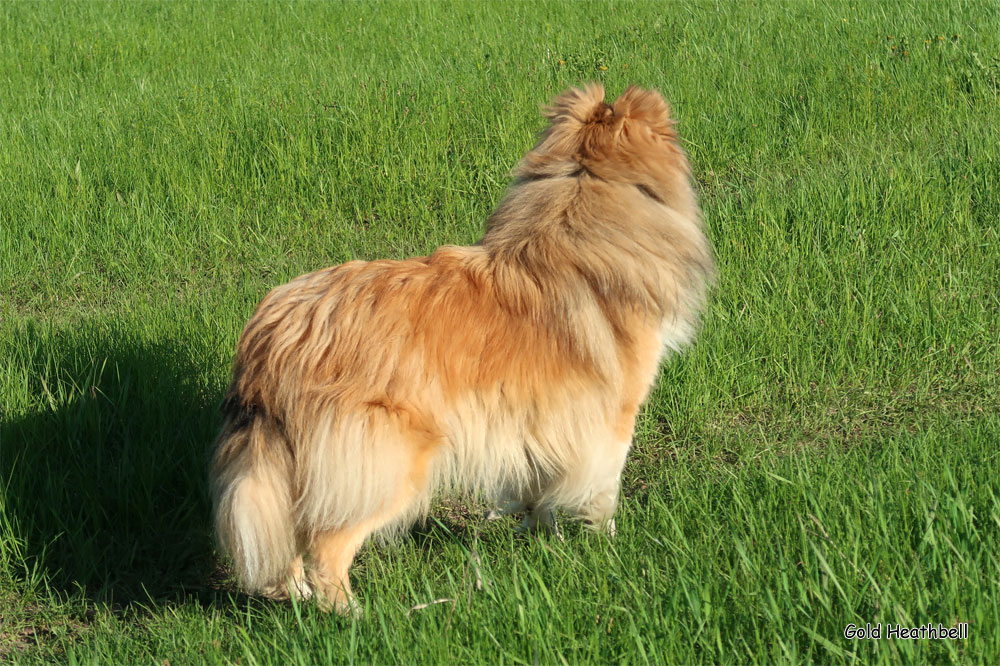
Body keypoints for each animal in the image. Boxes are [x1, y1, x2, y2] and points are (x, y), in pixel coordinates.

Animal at [209, 84, 712, 612]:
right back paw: (352, 614)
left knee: (287, 540)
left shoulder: (538, 421)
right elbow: (604, 490)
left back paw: (296, 598)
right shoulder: (612, 417)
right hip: (387, 462)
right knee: (328, 545)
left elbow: (540, 489)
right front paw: (608, 546)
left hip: (286, 469)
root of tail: (276, 333)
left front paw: (541, 537)